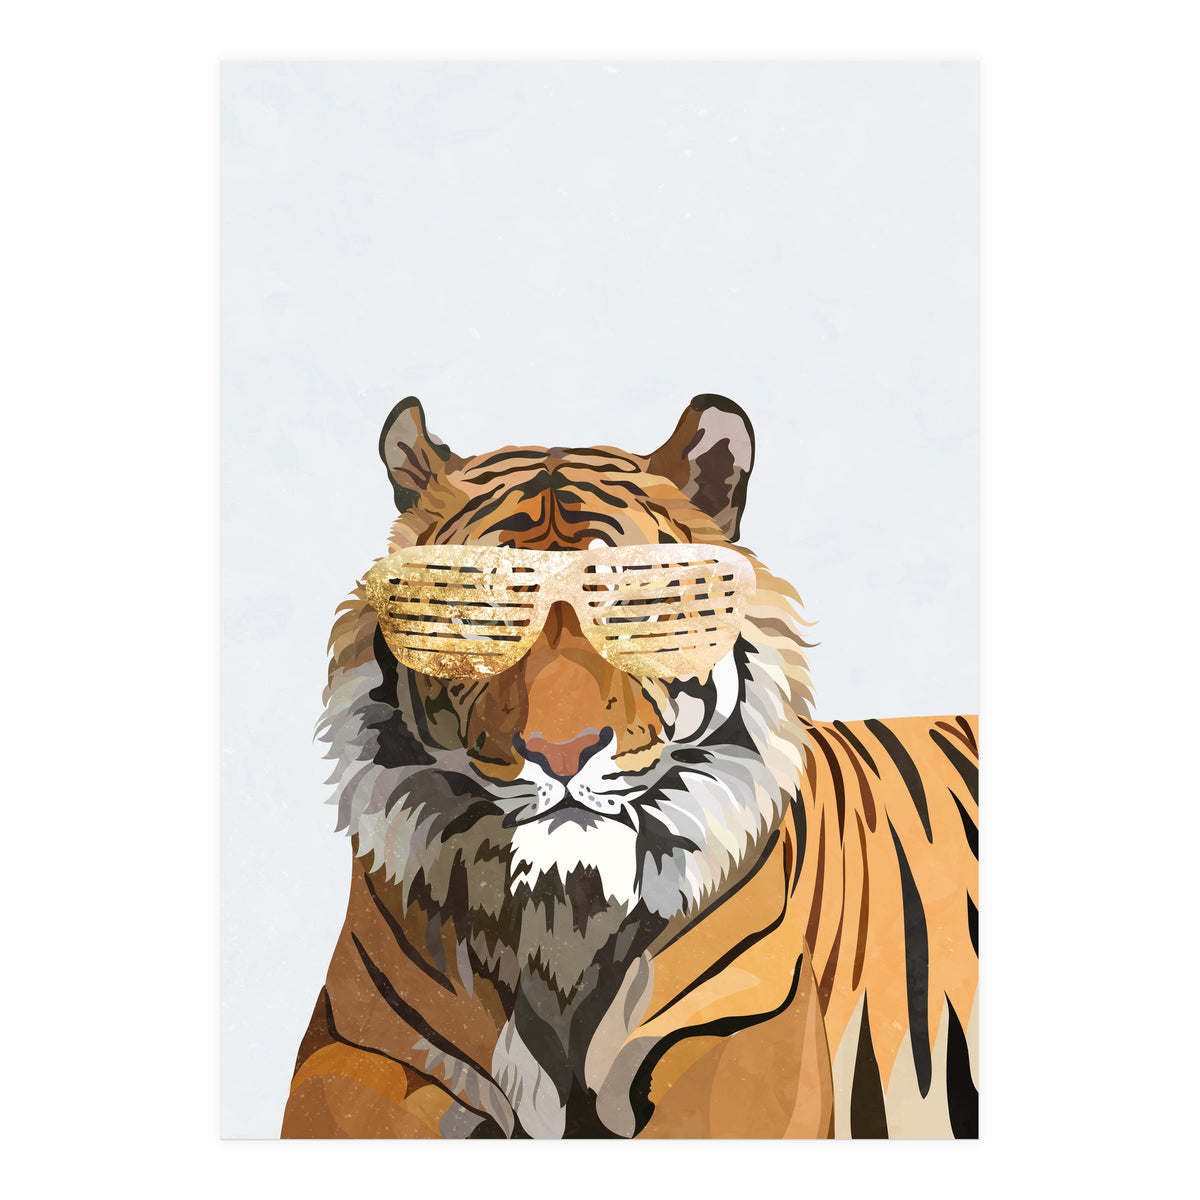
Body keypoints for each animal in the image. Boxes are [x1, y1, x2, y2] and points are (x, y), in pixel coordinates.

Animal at [281, 394, 979, 1139]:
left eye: (628, 605)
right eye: (490, 610)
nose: (561, 751)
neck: (563, 916)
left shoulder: (738, 1029)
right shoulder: (356, 1043)